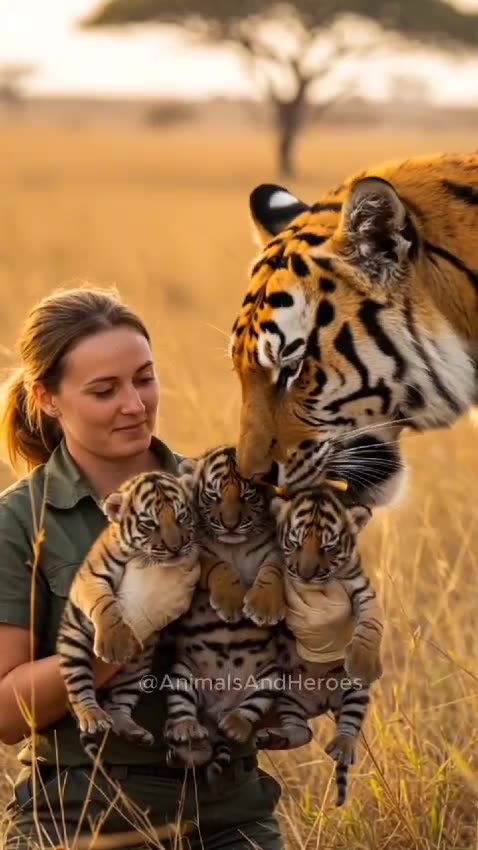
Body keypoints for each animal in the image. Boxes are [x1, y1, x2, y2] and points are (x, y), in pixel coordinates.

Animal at [56, 470, 200, 757]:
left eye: (182, 517)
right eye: (150, 524)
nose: (177, 547)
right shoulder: (90, 579)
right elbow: (105, 604)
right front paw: (115, 646)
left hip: (137, 669)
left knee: (118, 704)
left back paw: (133, 731)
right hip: (72, 645)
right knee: (79, 688)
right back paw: (93, 716)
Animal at [164, 445, 285, 779]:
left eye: (247, 495)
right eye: (214, 496)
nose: (230, 524)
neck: (234, 544)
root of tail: (215, 711)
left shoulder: (274, 551)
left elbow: (272, 572)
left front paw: (263, 608)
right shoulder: (195, 555)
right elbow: (219, 567)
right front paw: (231, 603)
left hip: (269, 678)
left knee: (249, 709)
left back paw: (234, 725)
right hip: (182, 676)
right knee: (181, 712)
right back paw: (187, 732)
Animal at [256, 482, 382, 806]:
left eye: (328, 547)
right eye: (295, 543)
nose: (306, 574)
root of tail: (323, 701)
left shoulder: (364, 591)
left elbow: (371, 625)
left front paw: (363, 662)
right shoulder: (278, 561)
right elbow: (270, 569)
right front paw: (263, 605)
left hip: (353, 693)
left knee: (348, 725)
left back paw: (342, 746)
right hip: (288, 696)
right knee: (301, 732)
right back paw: (273, 737)